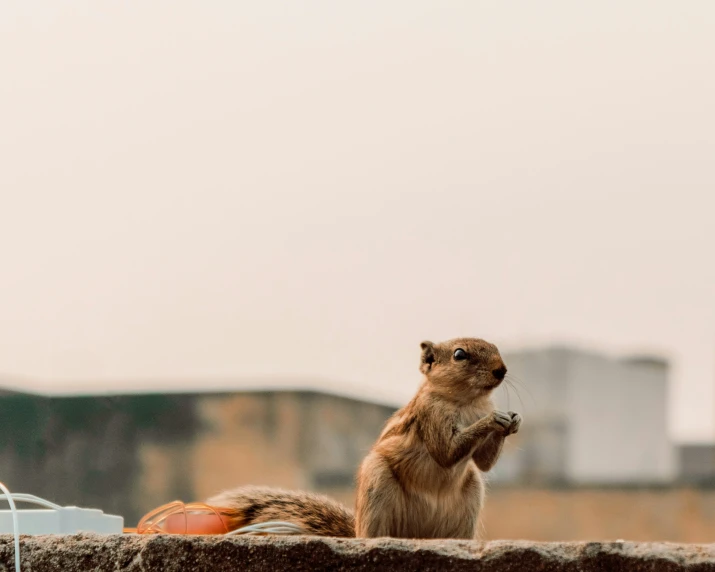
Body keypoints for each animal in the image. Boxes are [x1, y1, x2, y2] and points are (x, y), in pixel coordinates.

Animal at [207, 338, 520, 540]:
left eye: (496, 348)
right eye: (459, 354)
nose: (501, 370)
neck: (467, 402)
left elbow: (483, 463)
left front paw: (512, 420)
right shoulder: (430, 415)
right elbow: (446, 452)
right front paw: (494, 420)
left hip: (470, 495)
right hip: (377, 484)